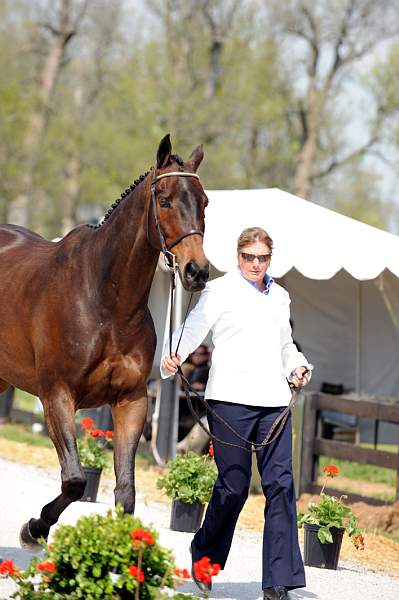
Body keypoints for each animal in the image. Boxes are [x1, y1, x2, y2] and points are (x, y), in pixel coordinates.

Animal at [0, 135, 211, 548]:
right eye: (164, 199)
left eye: (205, 201)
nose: (196, 271)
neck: (105, 301)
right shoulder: (57, 396)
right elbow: (75, 480)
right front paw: (34, 528)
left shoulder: (131, 401)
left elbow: (125, 492)